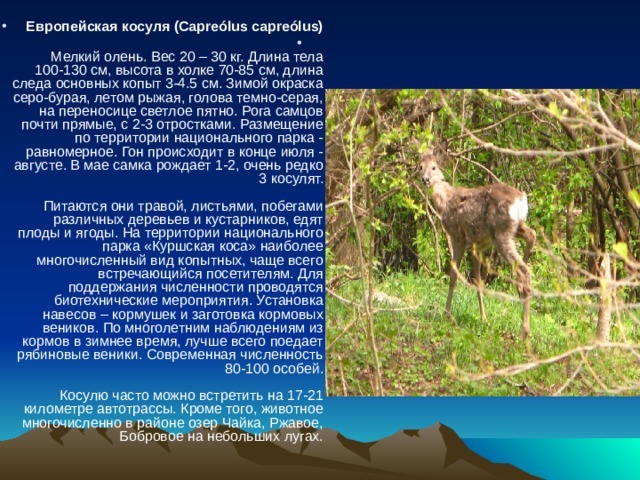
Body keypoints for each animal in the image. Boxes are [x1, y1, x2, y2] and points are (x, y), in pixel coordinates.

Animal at [419, 146, 536, 338]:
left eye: (434, 167)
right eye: (420, 167)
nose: (425, 179)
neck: (445, 200)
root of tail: (521, 198)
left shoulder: (458, 237)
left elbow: (453, 275)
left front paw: (448, 314)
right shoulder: (477, 246)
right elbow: (478, 280)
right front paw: (484, 318)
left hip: (501, 234)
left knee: (524, 270)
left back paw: (524, 331)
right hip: (514, 228)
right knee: (532, 235)